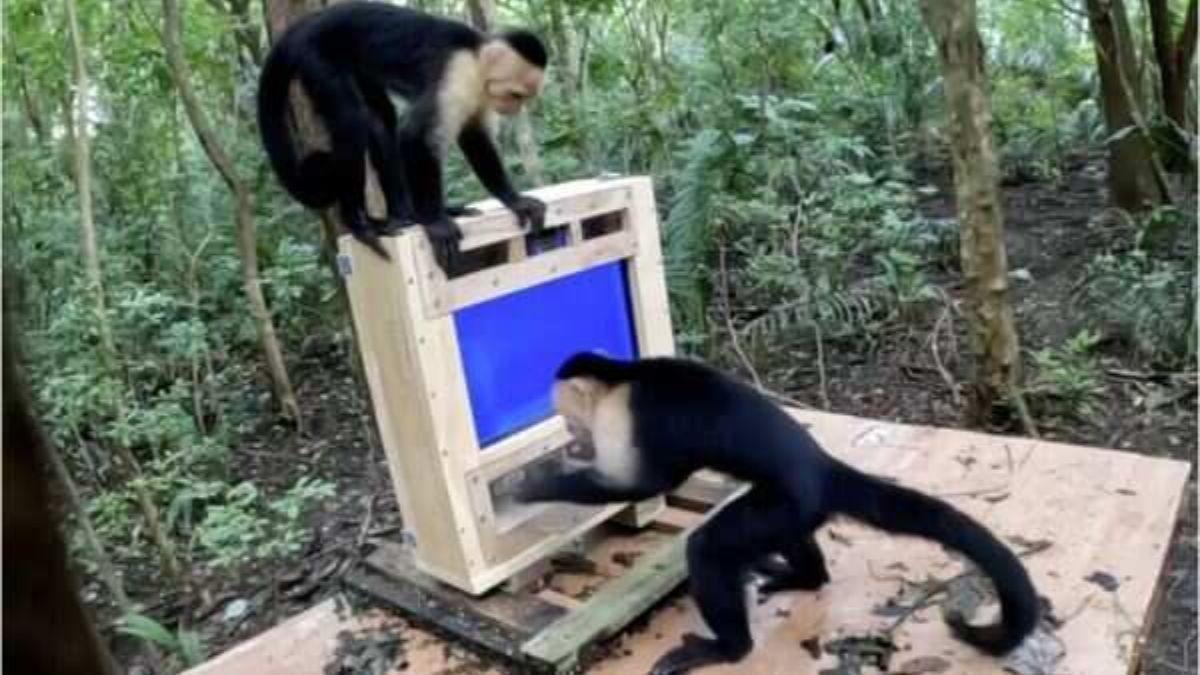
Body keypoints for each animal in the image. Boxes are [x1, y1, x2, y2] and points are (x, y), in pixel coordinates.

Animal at [257, 2, 548, 266]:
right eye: (516, 95)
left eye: (523, 97)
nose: (515, 108)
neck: (476, 58)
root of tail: (304, 26)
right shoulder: (457, 75)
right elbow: (415, 135)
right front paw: (435, 222)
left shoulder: (480, 94)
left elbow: (475, 137)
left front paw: (515, 200)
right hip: (317, 55)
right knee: (351, 121)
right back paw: (358, 222)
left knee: (380, 118)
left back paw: (404, 214)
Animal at [517, 353, 1040, 675]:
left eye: (571, 421)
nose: (573, 438)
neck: (625, 376)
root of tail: (822, 466)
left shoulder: (626, 418)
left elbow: (645, 485)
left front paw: (533, 485)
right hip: (795, 508)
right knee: (787, 538)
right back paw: (803, 577)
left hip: (790, 500)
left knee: (709, 547)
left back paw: (729, 648)